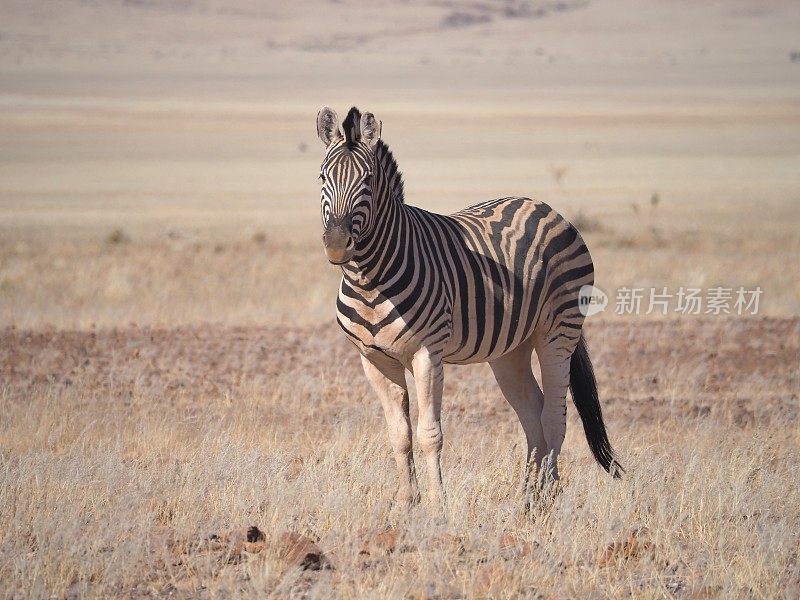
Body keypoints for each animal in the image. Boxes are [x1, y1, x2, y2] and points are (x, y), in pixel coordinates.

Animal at [316, 105, 620, 508]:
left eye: (367, 181)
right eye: (322, 177)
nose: (336, 245)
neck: (370, 281)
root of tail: (543, 206)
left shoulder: (427, 354)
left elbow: (429, 433)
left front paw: (436, 505)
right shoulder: (373, 360)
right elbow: (399, 433)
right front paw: (406, 503)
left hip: (558, 332)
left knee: (554, 414)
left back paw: (548, 498)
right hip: (510, 350)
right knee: (532, 412)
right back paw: (527, 499)